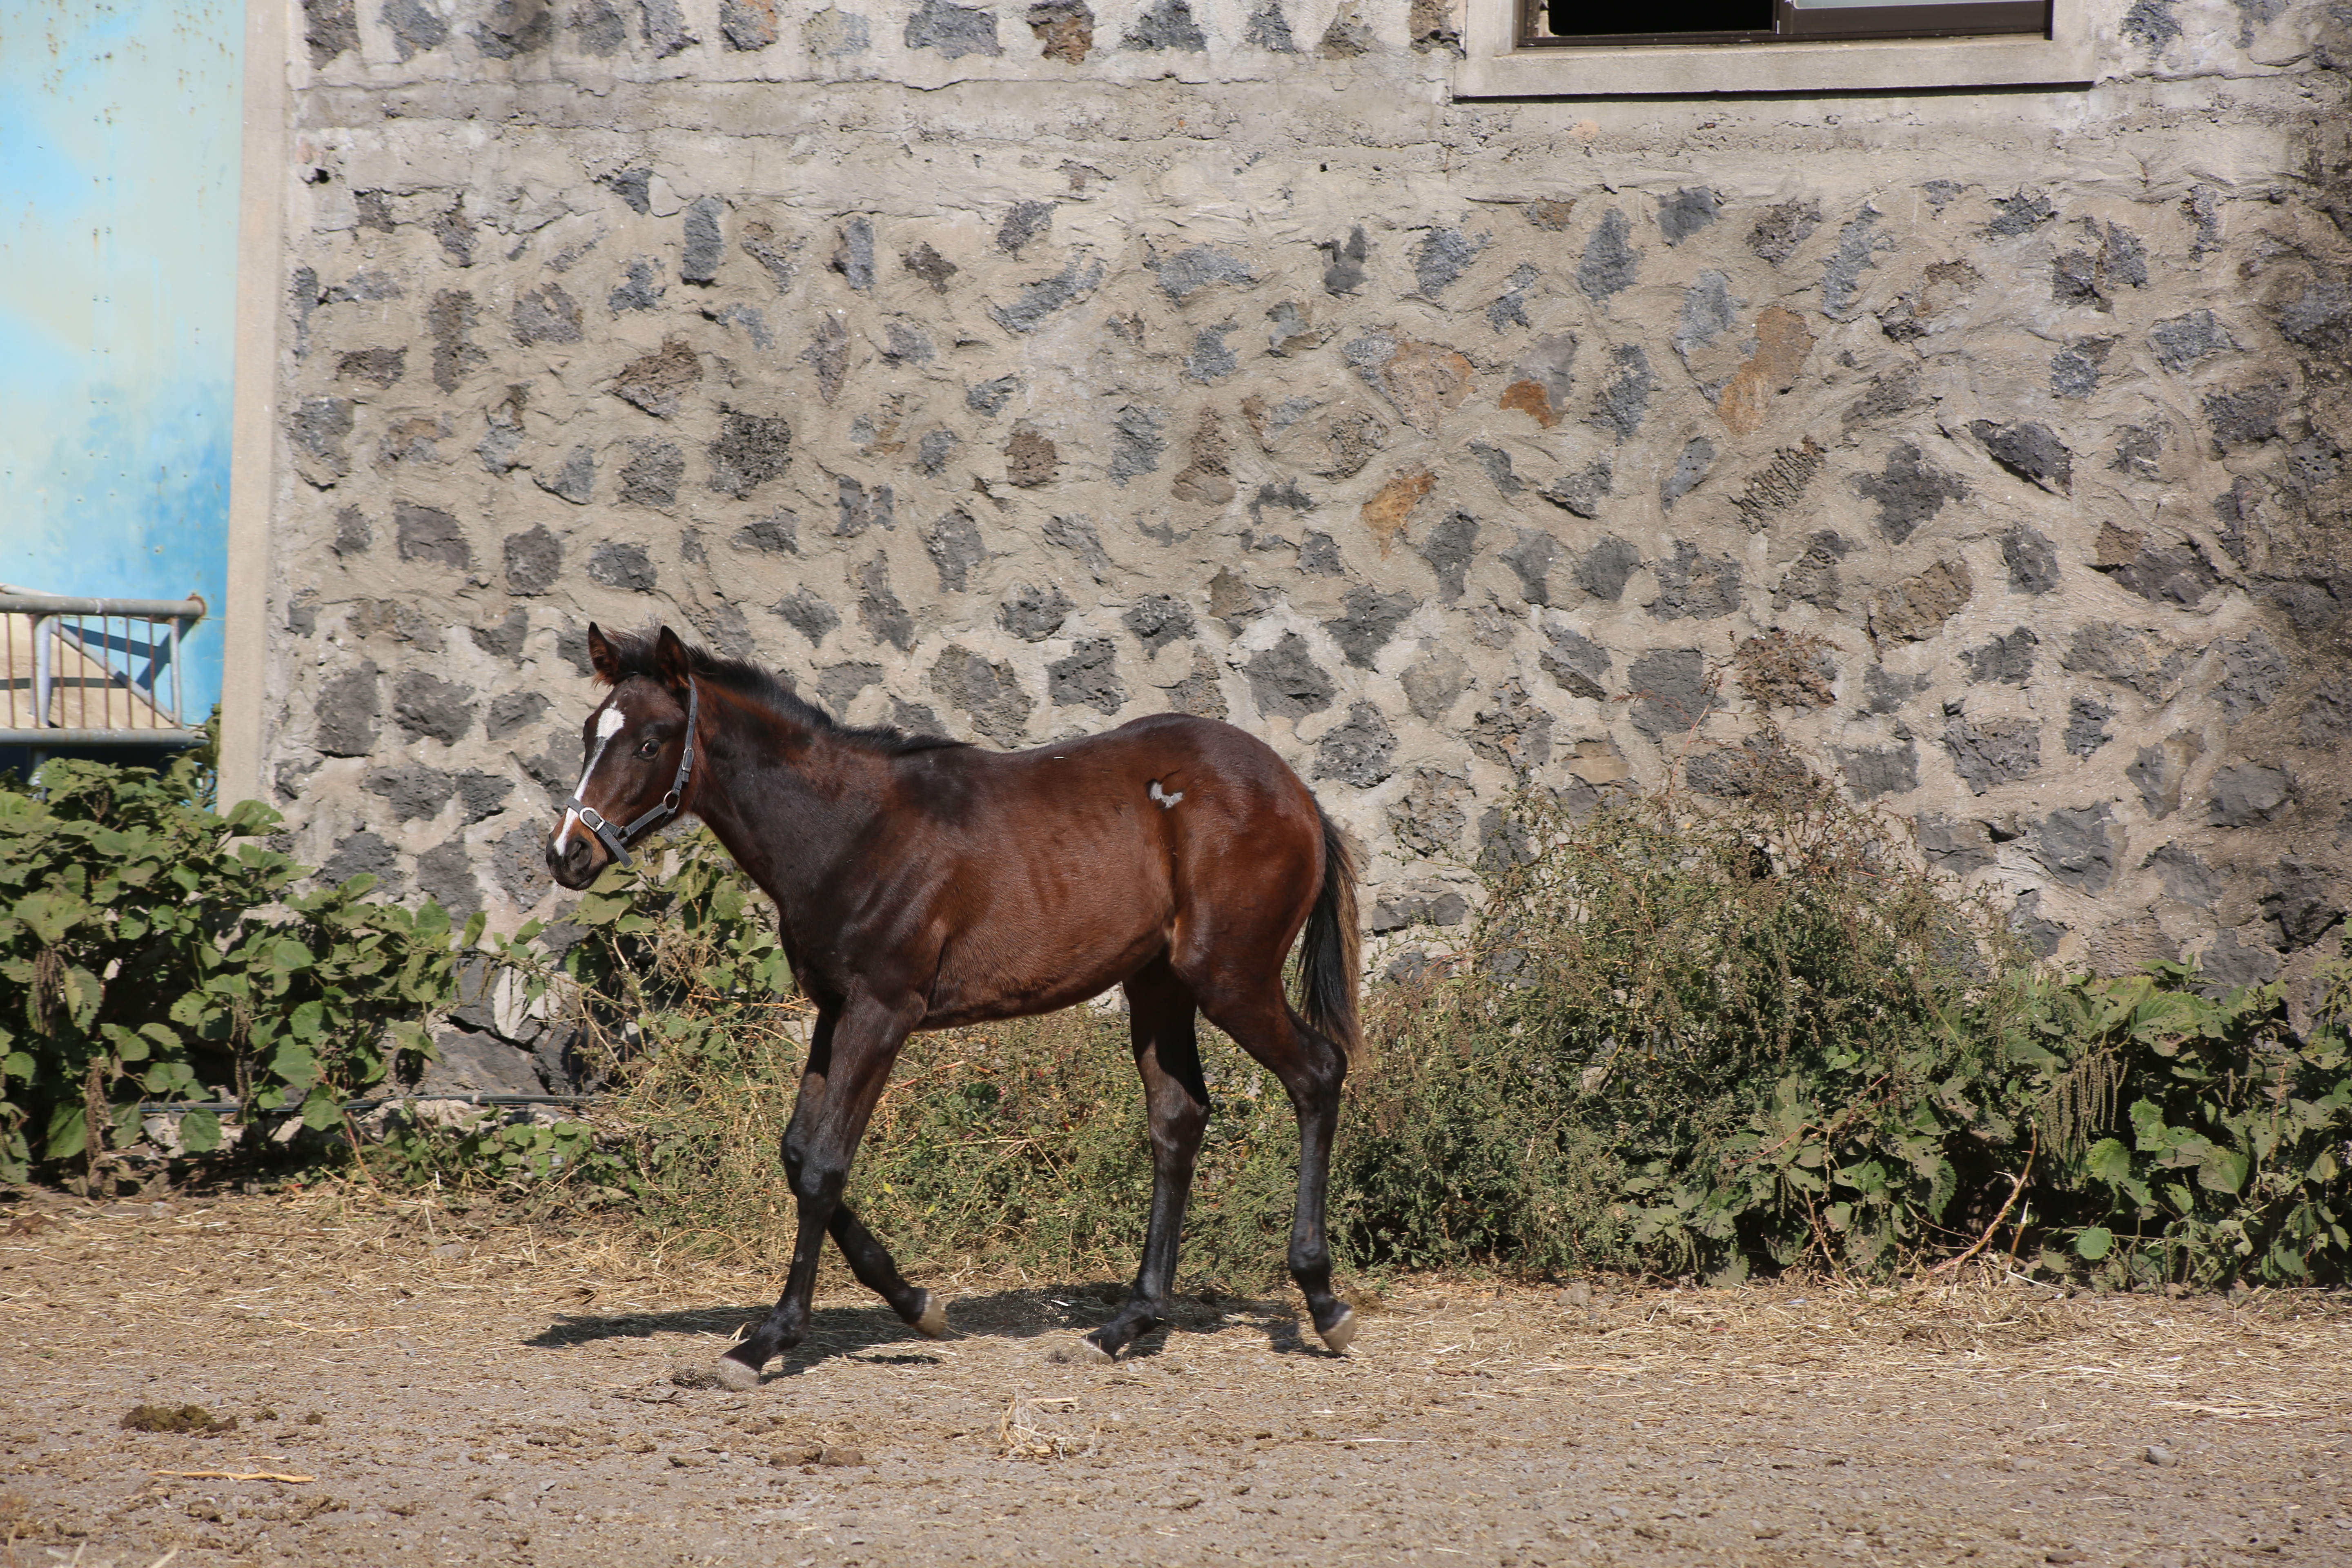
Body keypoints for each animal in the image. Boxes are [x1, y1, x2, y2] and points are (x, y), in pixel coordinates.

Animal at [543, 625, 1373, 1382]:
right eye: (588, 734)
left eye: (650, 743)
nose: (566, 855)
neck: (851, 828)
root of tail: (1298, 793)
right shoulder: (835, 1010)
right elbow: (797, 1153)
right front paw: (917, 1303)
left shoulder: (884, 1010)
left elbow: (823, 1166)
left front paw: (768, 1340)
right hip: (1159, 985)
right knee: (1179, 1119)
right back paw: (1125, 1324)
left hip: (1229, 976)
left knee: (1317, 1073)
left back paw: (1324, 1302)